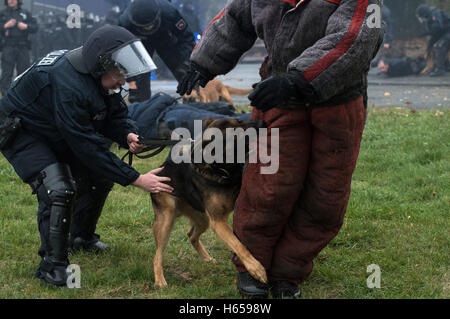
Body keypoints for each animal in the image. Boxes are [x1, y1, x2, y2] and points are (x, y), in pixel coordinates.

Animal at [149, 117, 268, 290]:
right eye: (236, 133)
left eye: (240, 121)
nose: (262, 123)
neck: (222, 169)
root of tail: (160, 169)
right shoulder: (218, 222)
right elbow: (238, 245)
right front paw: (256, 269)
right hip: (167, 219)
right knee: (157, 255)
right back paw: (160, 280)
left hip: (203, 219)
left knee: (191, 235)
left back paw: (207, 258)